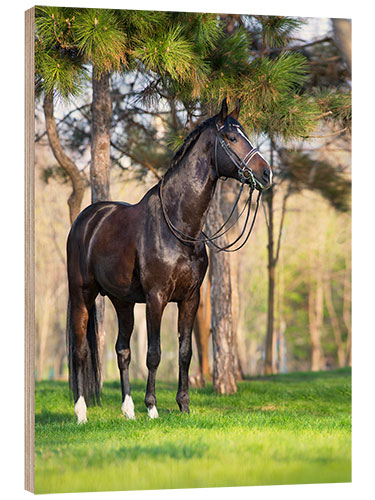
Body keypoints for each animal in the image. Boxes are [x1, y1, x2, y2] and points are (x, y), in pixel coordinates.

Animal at [66, 97, 272, 422]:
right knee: (80, 351)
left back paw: (128, 410)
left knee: (122, 351)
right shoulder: (156, 298)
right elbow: (154, 353)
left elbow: (185, 352)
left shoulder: (190, 299)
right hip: (81, 295)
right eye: (231, 138)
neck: (178, 225)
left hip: (122, 302)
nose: (266, 174)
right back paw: (82, 413)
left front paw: (183, 405)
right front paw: (152, 407)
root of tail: (86, 219)